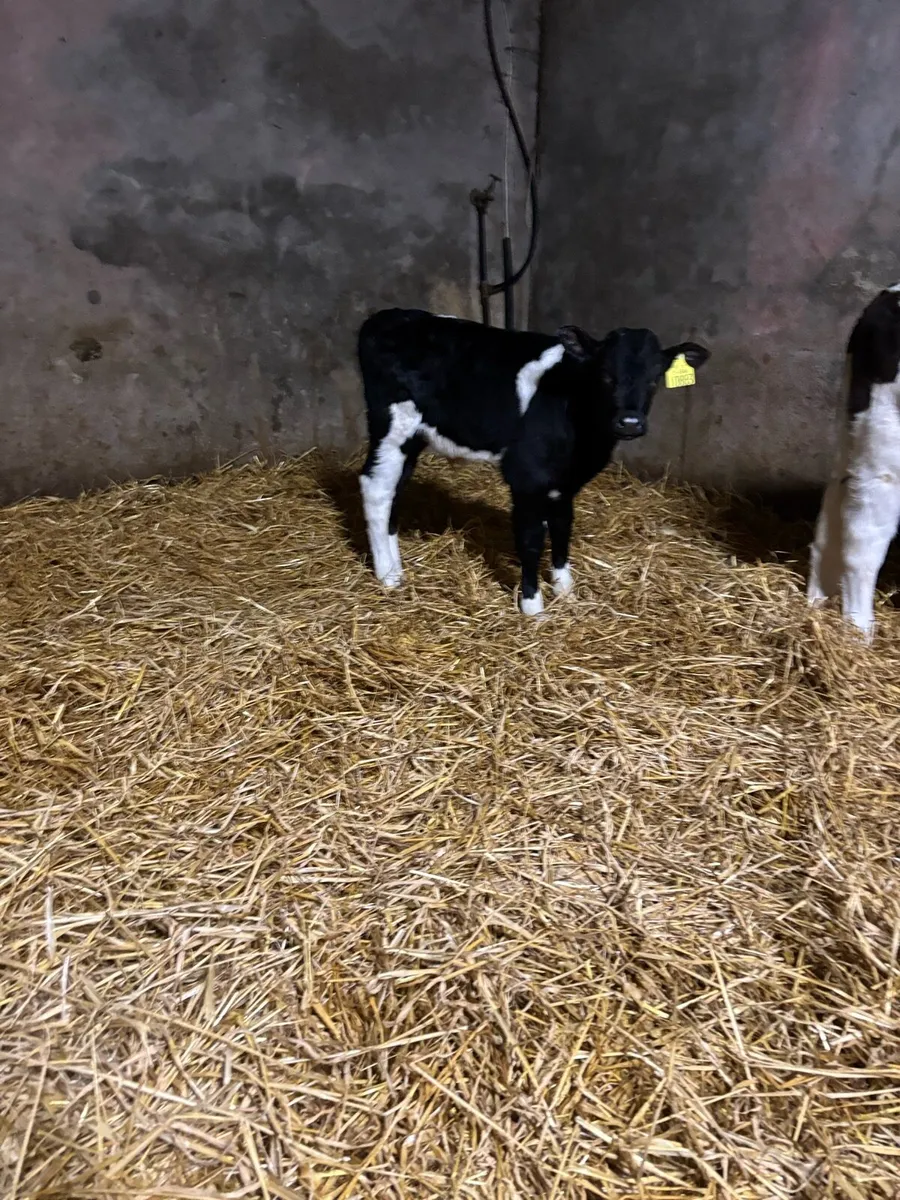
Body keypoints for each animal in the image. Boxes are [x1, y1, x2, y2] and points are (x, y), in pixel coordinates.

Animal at [357, 308, 710, 613]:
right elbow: (530, 540)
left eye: (655, 378)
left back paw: (396, 567)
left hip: (413, 438)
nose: (630, 423)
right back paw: (387, 576)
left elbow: (562, 527)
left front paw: (565, 590)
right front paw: (533, 608)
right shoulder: (526, 476)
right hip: (392, 425)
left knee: (396, 490)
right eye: (605, 375)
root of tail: (389, 316)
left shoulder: (566, 481)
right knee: (376, 487)